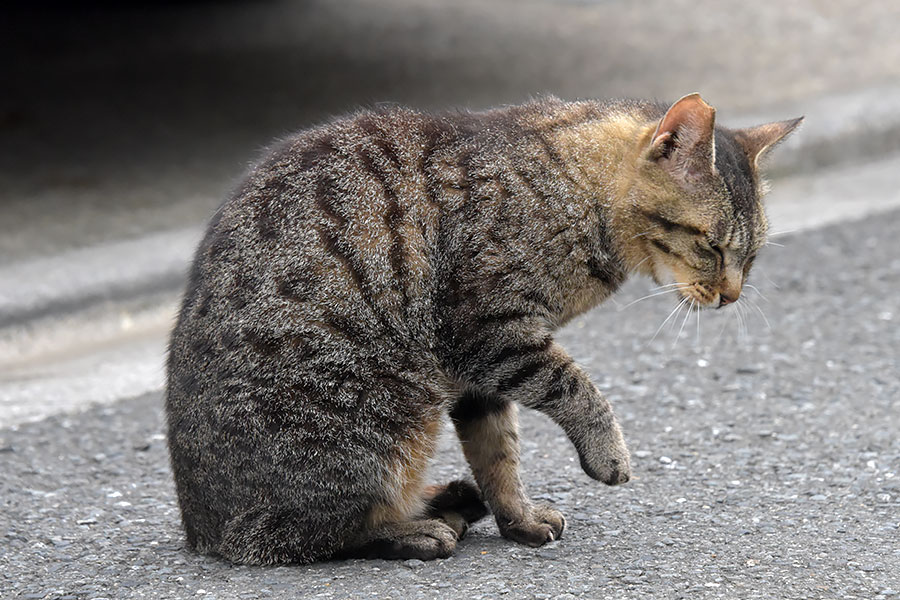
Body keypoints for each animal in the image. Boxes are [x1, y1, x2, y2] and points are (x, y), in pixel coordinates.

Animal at [167, 92, 800, 564]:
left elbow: (498, 452)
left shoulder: (482, 374)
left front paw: (517, 518)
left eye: (751, 257)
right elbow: (578, 389)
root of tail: (203, 532)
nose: (731, 296)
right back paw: (415, 528)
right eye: (712, 246)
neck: (575, 192)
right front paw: (609, 452)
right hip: (386, 409)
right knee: (297, 535)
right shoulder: (490, 336)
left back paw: (445, 500)